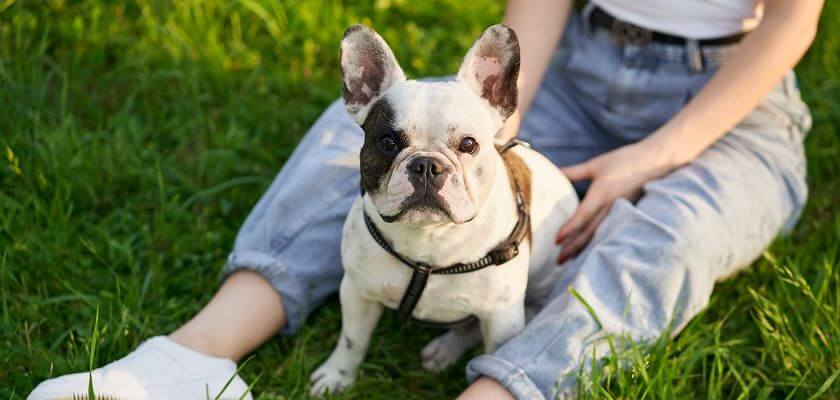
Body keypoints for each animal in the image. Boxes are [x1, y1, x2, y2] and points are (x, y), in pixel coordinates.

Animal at [308, 23, 576, 396]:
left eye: (468, 144)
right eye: (388, 142)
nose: (426, 165)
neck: (429, 239)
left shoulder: (502, 317)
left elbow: (491, 351)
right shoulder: (357, 292)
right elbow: (352, 340)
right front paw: (337, 375)